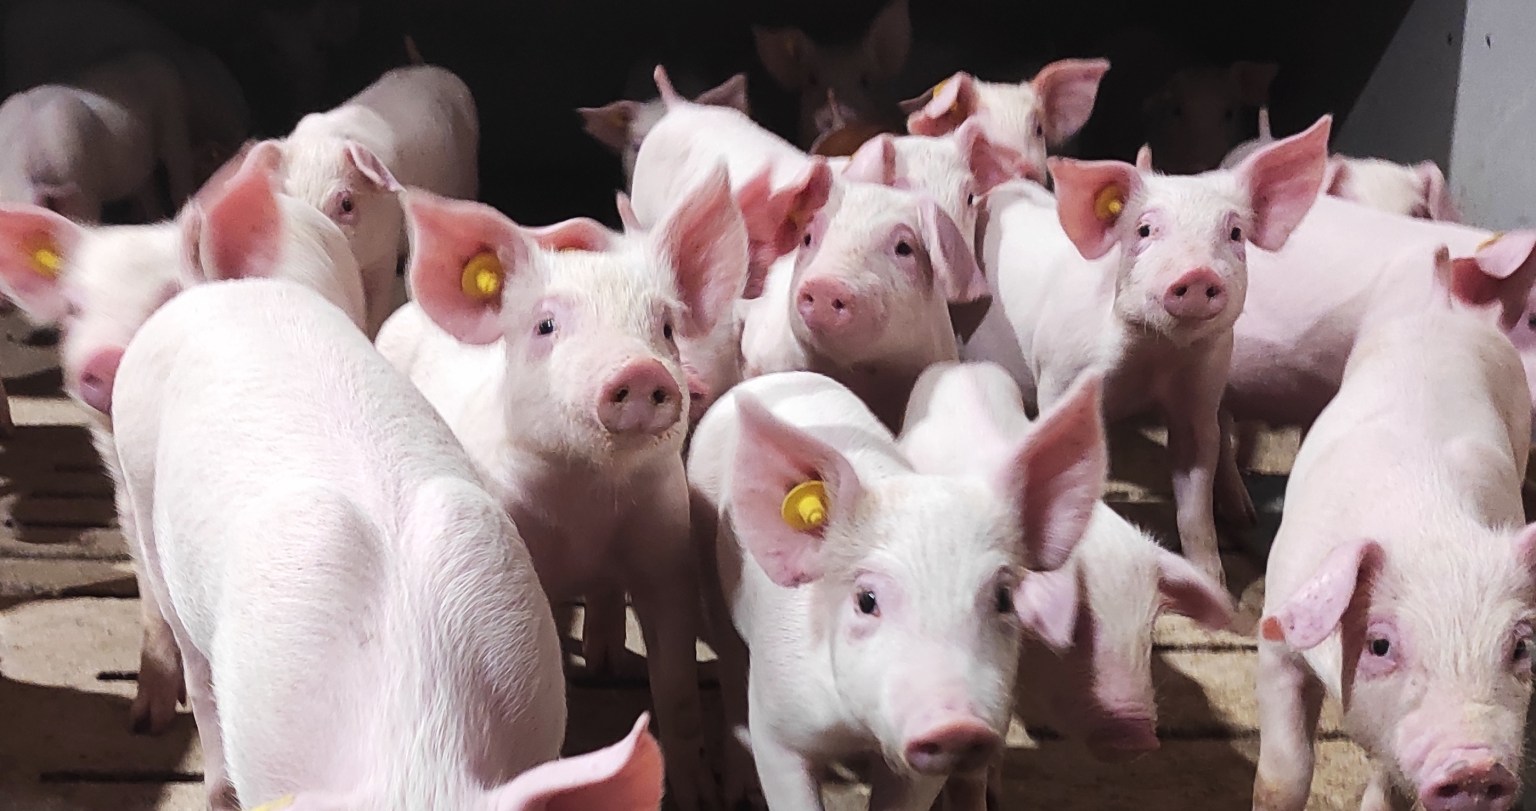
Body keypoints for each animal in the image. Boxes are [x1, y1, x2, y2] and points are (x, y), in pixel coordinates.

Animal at [0, 141, 367, 736]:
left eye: (169, 296)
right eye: (74, 308)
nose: (102, 360)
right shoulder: (127, 494)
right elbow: (153, 597)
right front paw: (145, 720)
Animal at [374, 167, 747, 810]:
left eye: (665, 328)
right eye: (546, 325)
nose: (639, 371)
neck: (588, 502)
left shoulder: (664, 549)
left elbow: (676, 687)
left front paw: (702, 798)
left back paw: (604, 661)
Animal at [959, 116, 1332, 586]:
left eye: (1235, 233)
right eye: (1144, 230)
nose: (1197, 273)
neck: (1154, 360)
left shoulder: (1199, 389)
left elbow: (1195, 492)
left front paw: (1213, 583)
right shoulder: (1062, 377)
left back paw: (1244, 513)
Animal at [1253, 246, 1536, 811]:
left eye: (1520, 647)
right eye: (1380, 644)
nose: (1477, 768)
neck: (1428, 528)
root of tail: (1443, 305)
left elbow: (1389, 781)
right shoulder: (1276, 634)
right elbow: (1285, 773)